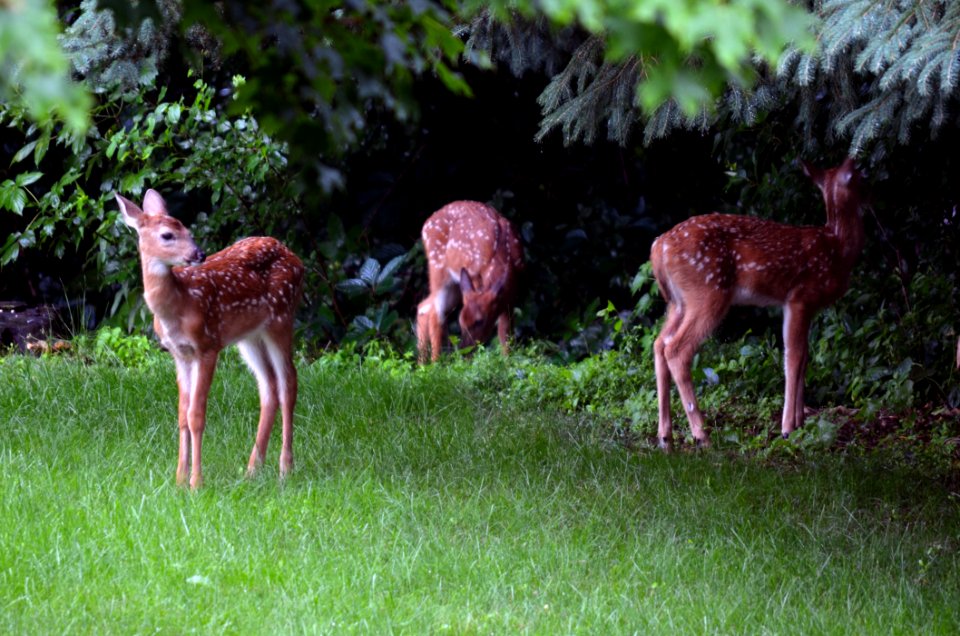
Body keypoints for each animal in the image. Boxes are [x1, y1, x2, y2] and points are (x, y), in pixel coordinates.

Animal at [116, 189, 304, 486]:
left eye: (189, 231)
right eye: (168, 235)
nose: (199, 253)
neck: (179, 304)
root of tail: (295, 257)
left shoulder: (207, 346)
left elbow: (196, 415)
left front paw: (196, 483)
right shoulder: (179, 354)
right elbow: (182, 414)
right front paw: (179, 480)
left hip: (282, 318)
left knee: (289, 383)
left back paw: (285, 468)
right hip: (249, 337)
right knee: (269, 387)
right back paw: (253, 469)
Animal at [416, 201, 524, 366]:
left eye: (480, 321)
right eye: (461, 322)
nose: (463, 352)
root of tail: (426, 225)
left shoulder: (511, 297)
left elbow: (505, 334)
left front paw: (508, 363)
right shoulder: (475, 279)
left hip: (455, 285)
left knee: (424, 307)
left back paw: (422, 365)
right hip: (438, 269)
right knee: (435, 312)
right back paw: (435, 363)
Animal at [652, 157, 864, 450]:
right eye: (861, 177)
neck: (837, 248)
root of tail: (657, 248)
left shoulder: (801, 306)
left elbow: (804, 356)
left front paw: (800, 420)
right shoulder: (800, 297)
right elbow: (794, 356)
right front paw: (788, 428)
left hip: (677, 302)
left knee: (659, 343)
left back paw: (665, 437)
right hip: (707, 293)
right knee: (677, 349)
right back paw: (702, 436)